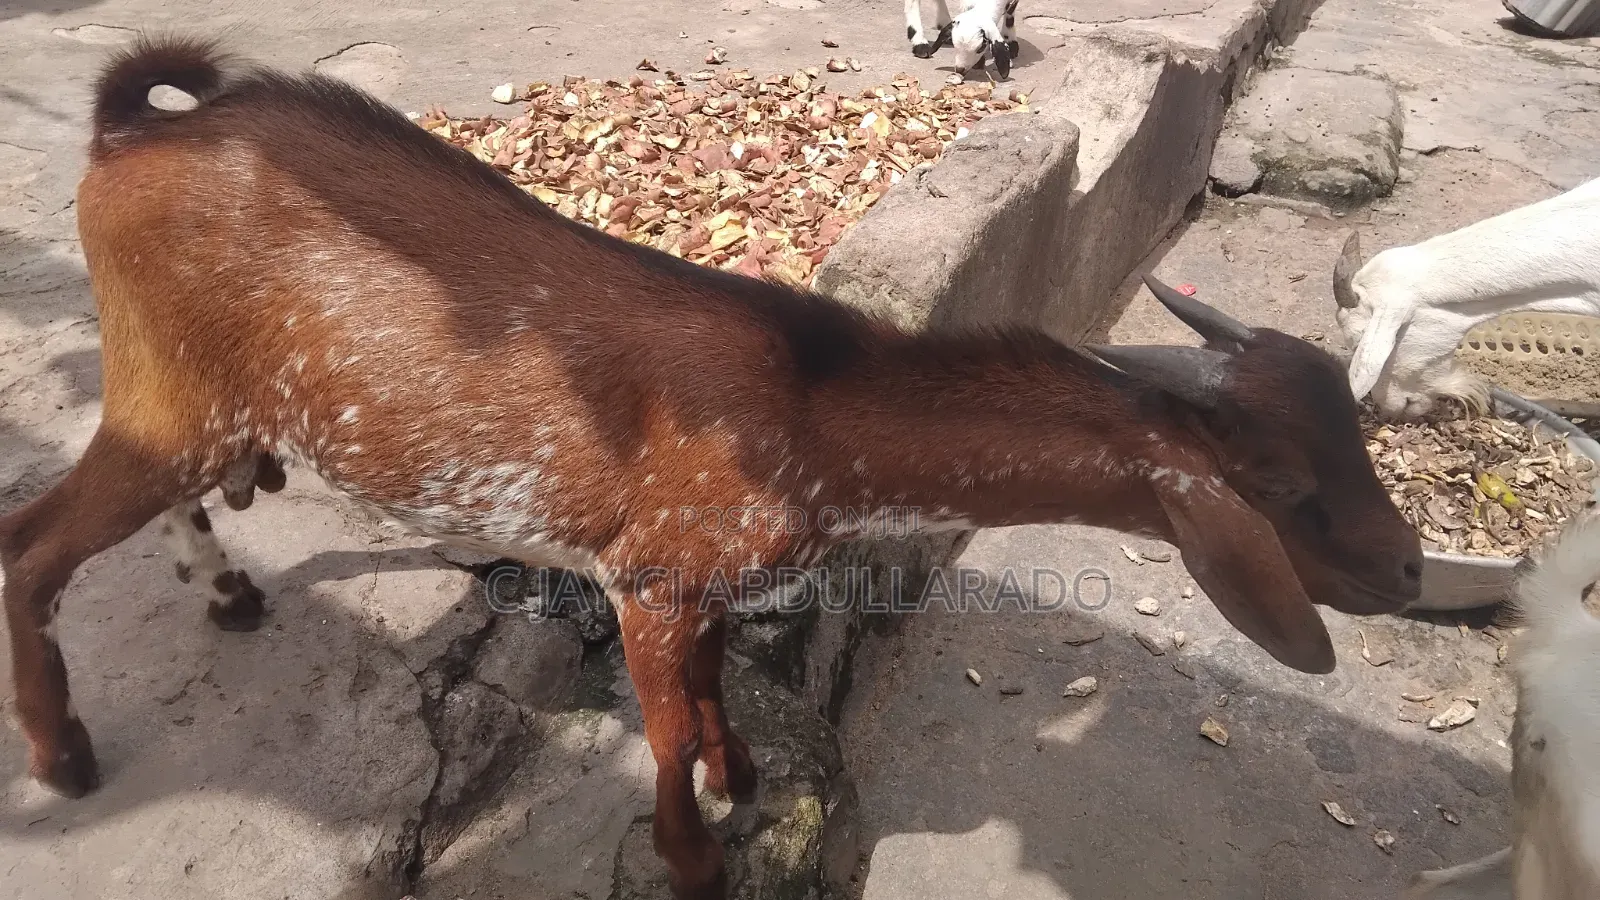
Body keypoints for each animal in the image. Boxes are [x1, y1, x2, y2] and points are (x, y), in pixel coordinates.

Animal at [0, 36, 1423, 900]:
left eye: (1354, 442)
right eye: (1284, 492)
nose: (1409, 572)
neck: (807, 409)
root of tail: (128, 134)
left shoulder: (704, 587)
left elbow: (713, 689)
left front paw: (745, 787)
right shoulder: (648, 575)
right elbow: (669, 724)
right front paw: (695, 857)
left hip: (193, 398)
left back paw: (232, 597)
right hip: (162, 390)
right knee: (32, 543)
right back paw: (64, 757)